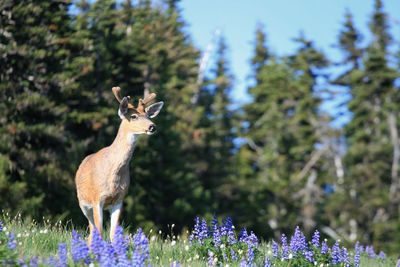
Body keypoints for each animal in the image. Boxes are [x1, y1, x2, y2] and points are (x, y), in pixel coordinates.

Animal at [74, 87, 163, 244]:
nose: (152, 126)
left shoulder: (120, 199)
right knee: (92, 229)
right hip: (83, 202)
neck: (113, 174)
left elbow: (113, 234)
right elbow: (100, 231)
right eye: (133, 116)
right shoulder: (97, 198)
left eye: (147, 115)